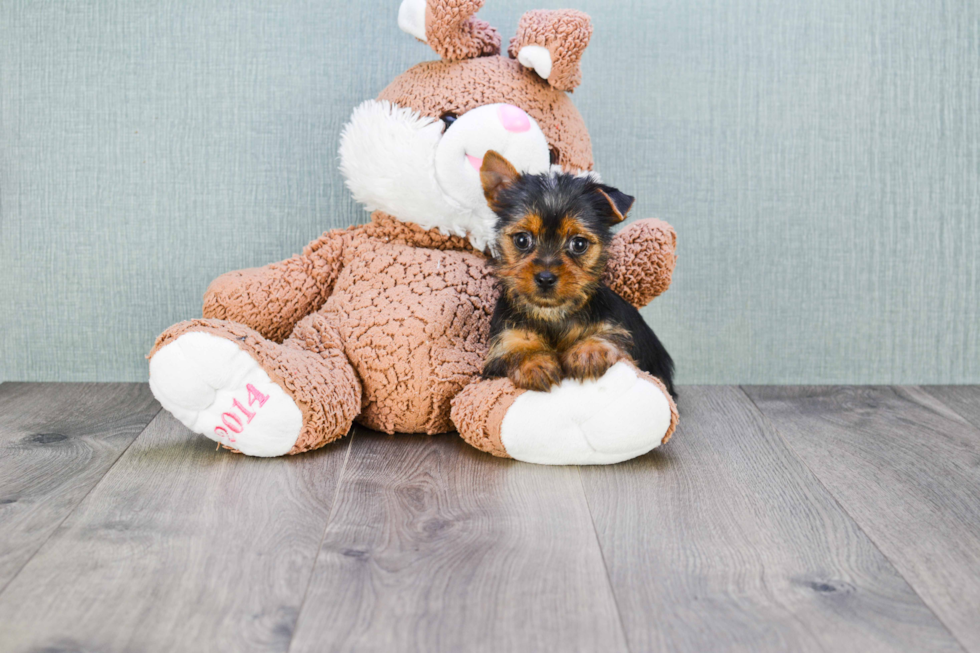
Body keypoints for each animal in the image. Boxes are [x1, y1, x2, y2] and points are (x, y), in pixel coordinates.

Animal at [480, 151, 672, 394]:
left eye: (579, 244)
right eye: (522, 240)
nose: (545, 278)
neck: (553, 316)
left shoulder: (617, 330)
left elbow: (610, 338)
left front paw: (588, 352)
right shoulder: (505, 340)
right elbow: (515, 348)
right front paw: (534, 362)